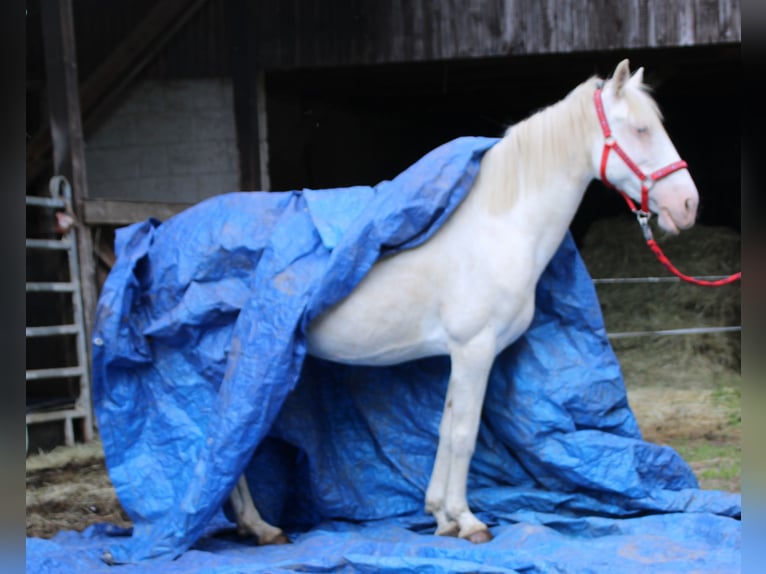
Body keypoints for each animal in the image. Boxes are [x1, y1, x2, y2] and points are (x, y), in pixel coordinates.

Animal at [230, 59, 704, 548]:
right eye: (642, 130)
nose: (688, 205)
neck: (498, 228)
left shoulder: (460, 355)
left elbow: (444, 428)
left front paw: (441, 518)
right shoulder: (475, 349)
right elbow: (464, 433)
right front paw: (469, 520)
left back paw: (251, 524)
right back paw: (261, 526)